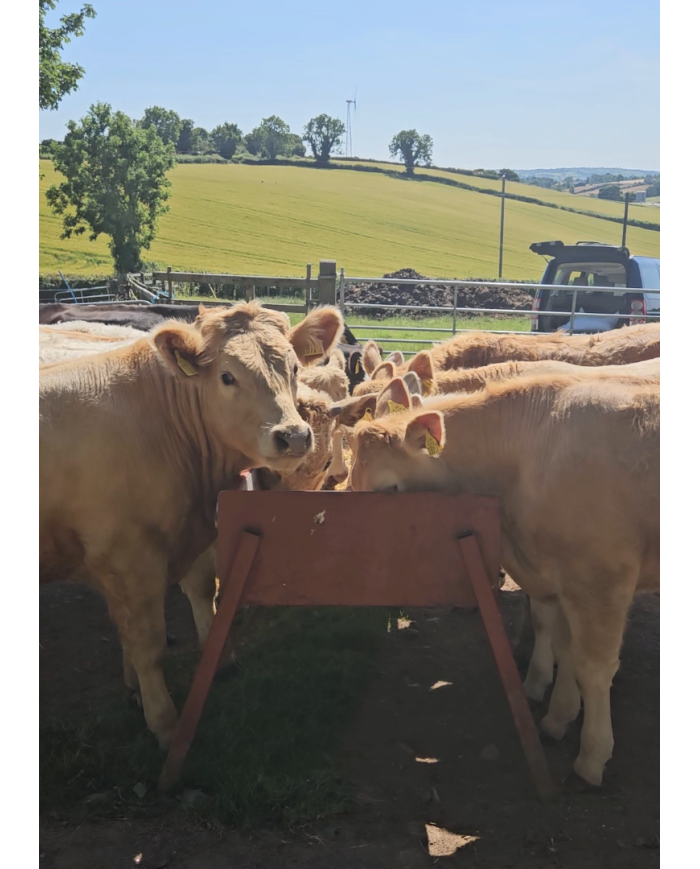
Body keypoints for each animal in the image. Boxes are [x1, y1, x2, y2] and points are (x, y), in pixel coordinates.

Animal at [40, 302, 344, 748]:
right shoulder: (129, 557)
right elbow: (148, 645)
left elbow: (199, 594)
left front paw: (218, 662)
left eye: (292, 367)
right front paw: (165, 722)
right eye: (227, 376)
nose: (293, 436)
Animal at [348, 373, 659, 787]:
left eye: (389, 490)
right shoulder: (557, 576)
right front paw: (558, 716)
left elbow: (593, 668)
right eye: (352, 485)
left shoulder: (600, 578)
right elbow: (563, 648)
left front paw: (592, 756)